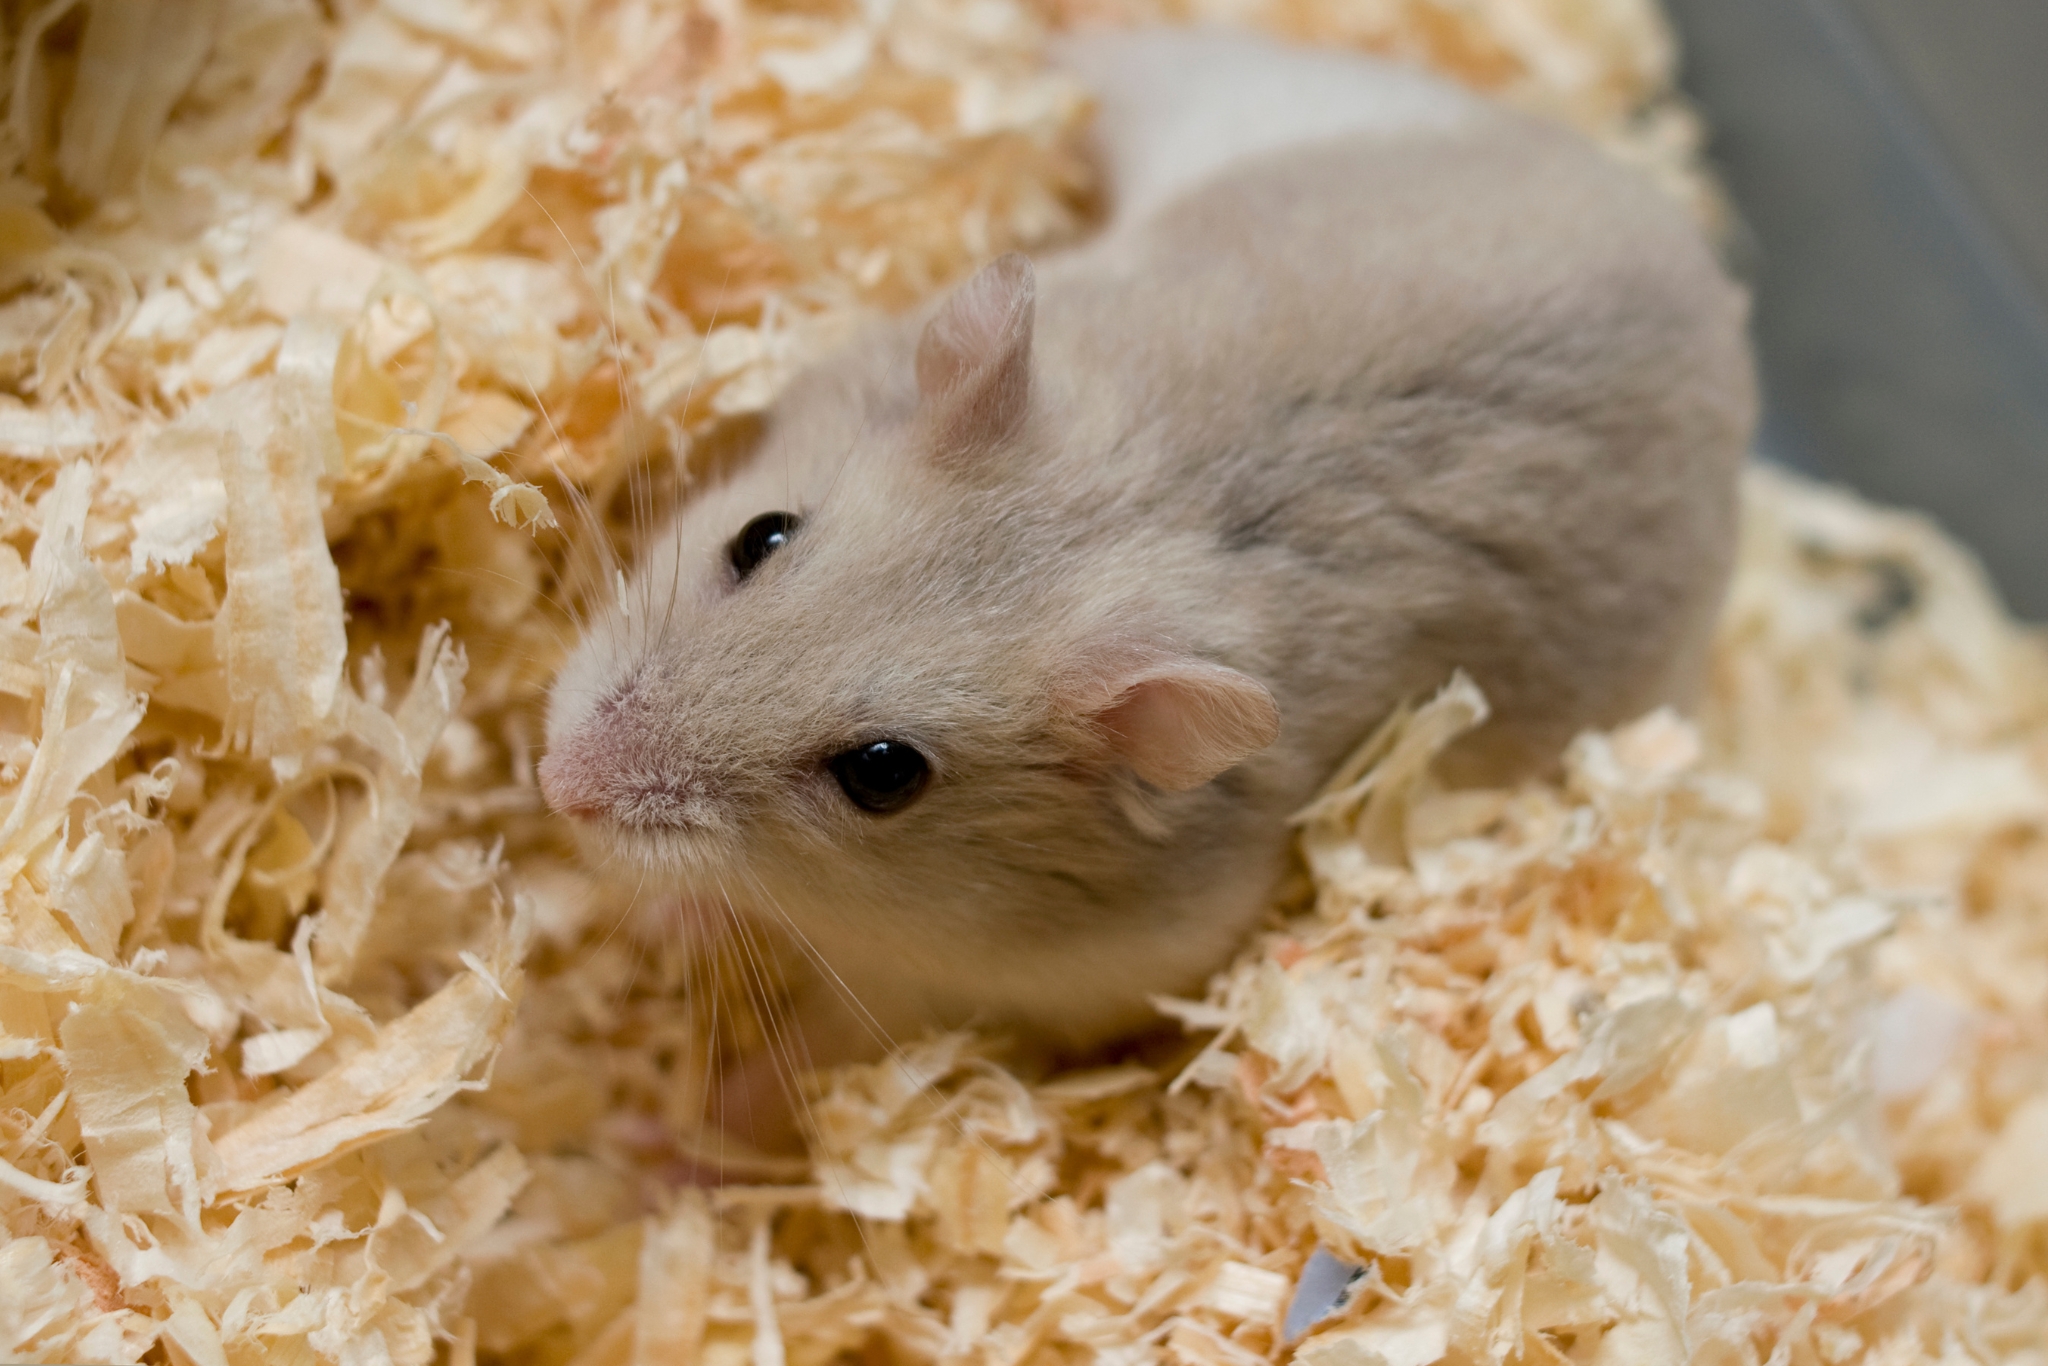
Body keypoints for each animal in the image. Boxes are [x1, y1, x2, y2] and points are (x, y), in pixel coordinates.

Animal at [539, 28, 1756, 1064]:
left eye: (881, 774)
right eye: (760, 536)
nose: (555, 784)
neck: (1145, 499)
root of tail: (1708, 272)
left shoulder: (975, 995)